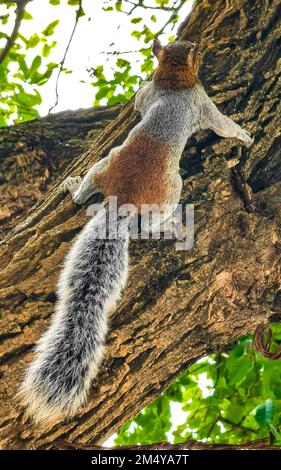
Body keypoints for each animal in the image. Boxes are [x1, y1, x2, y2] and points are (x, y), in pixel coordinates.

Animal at [19, 38, 252, 424]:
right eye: (191, 48)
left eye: (180, 45)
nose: (197, 44)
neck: (173, 80)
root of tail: (121, 201)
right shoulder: (201, 102)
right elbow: (222, 125)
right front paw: (245, 135)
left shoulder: (154, 92)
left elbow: (142, 101)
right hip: (171, 188)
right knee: (152, 221)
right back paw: (168, 223)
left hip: (103, 164)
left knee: (87, 191)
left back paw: (74, 187)